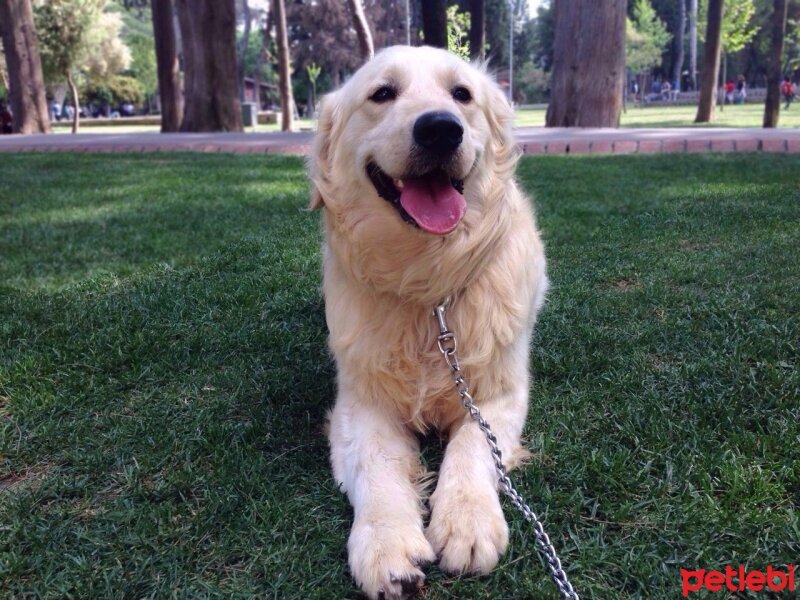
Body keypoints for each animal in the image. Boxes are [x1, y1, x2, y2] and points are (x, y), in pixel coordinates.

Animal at [310, 47, 548, 600]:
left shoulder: (498, 394)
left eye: (462, 94)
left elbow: (471, 447)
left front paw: (467, 523)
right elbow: (376, 462)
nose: (441, 128)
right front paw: (387, 545)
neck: (428, 284)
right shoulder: (360, 404)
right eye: (382, 93)